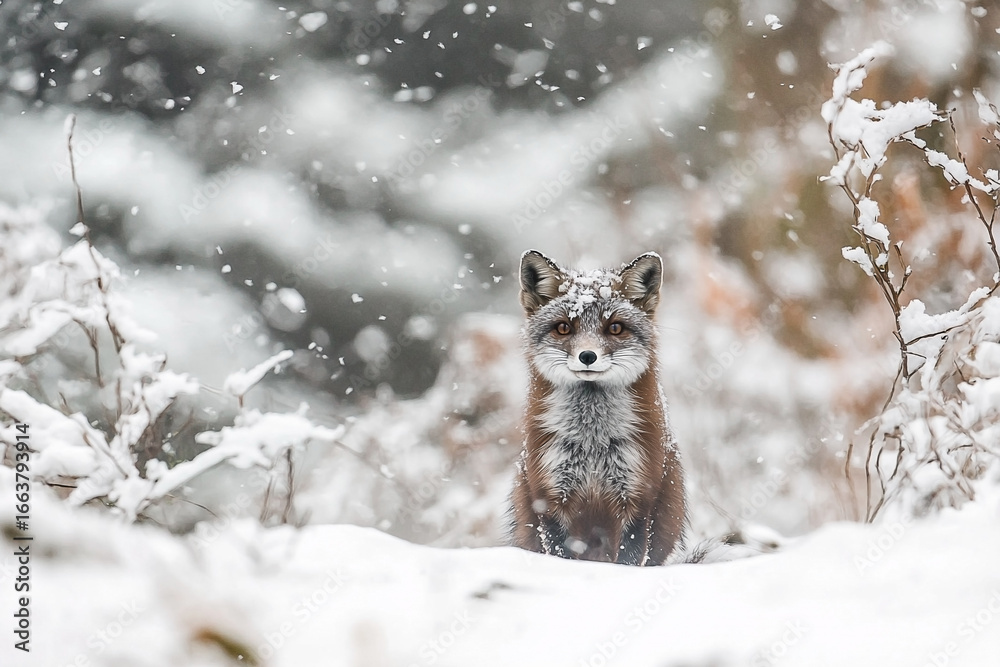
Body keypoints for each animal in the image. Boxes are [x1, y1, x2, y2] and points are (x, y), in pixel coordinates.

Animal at [510, 249, 686, 565]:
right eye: (564, 327)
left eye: (615, 327)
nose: (587, 356)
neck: (592, 443)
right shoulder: (549, 496)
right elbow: (560, 554)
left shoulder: (638, 496)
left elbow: (629, 558)